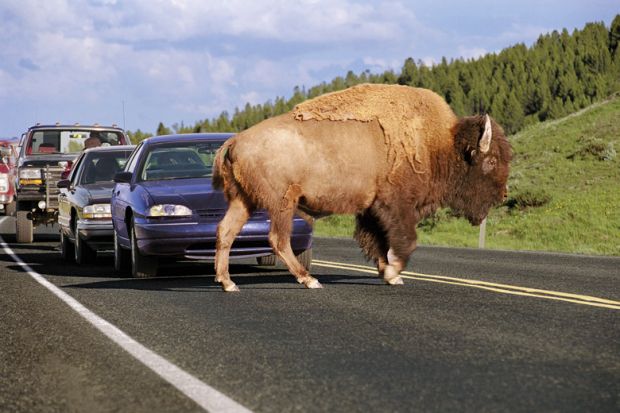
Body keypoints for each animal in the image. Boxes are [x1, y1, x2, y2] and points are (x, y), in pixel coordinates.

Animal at [214, 83, 512, 290]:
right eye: (492, 160)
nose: (502, 194)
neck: (438, 143)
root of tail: (236, 140)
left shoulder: (371, 209)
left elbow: (377, 241)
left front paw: (389, 275)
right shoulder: (396, 206)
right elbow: (405, 240)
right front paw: (394, 272)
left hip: (243, 200)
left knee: (225, 231)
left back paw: (228, 283)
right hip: (281, 204)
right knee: (278, 239)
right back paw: (309, 280)